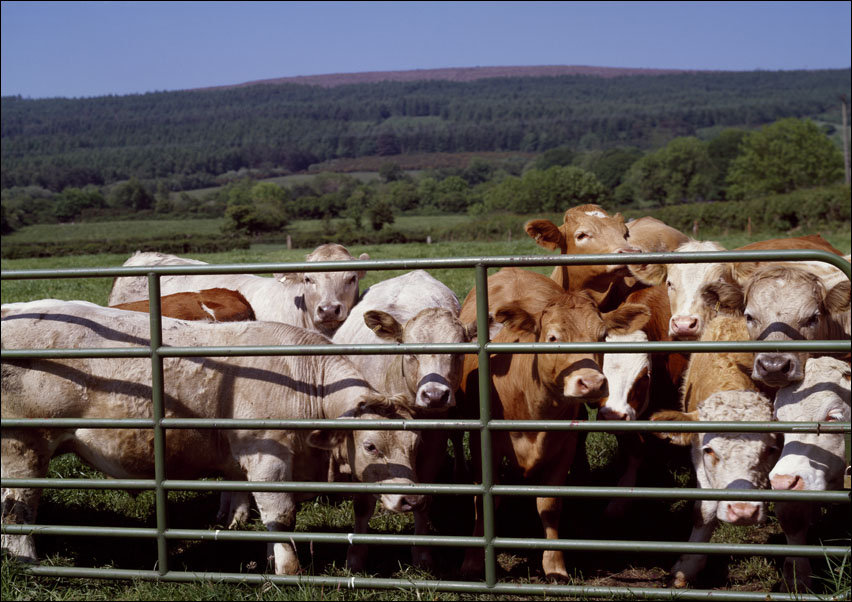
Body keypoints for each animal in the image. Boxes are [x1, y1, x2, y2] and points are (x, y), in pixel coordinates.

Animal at [0, 300, 422, 575]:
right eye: (370, 445)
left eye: (413, 446)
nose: (411, 499)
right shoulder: (267, 458)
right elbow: (280, 515)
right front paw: (288, 572)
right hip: (23, 446)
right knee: (19, 508)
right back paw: (26, 561)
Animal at [331, 270, 477, 568]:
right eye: (410, 351)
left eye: (458, 352)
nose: (435, 395)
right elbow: (362, 504)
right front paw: (356, 555)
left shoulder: (433, 443)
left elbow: (425, 497)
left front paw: (422, 553)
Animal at [456, 268, 650, 580]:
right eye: (552, 337)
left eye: (602, 336)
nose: (592, 383)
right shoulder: (483, 445)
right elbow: (483, 501)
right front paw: (473, 562)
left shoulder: (563, 446)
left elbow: (549, 503)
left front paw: (555, 564)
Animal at [651, 316, 782, 588]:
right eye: (710, 450)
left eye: (770, 449)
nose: (743, 511)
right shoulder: (697, 456)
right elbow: (705, 510)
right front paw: (686, 568)